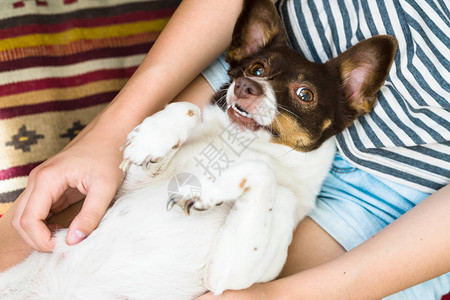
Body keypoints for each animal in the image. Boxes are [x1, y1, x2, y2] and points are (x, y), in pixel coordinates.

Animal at [0, 1, 394, 298]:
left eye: (305, 94)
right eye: (256, 68)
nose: (245, 86)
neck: (239, 148)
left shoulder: (228, 275)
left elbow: (263, 175)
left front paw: (205, 191)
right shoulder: (135, 181)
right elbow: (188, 110)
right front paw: (154, 135)